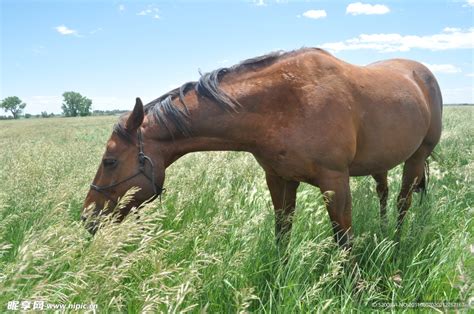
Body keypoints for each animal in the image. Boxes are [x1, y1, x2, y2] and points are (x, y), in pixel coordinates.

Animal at [81, 47, 440, 248]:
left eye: (110, 160)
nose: (87, 217)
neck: (286, 102)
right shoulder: (279, 179)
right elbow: (282, 232)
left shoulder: (334, 181)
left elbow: (343, 240)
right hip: (382, 163)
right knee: (384, 194)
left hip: (417, 156)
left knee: (403, 202)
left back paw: (396, 242)